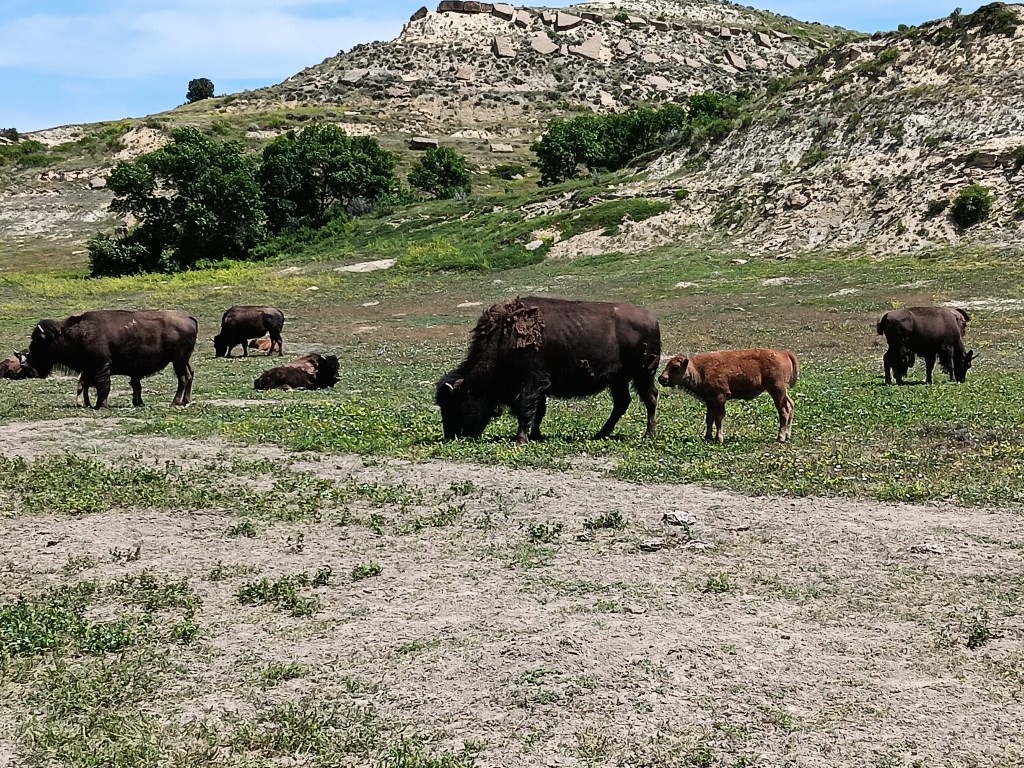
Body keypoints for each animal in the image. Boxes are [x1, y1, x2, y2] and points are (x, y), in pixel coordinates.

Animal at [26, 309, 198, 408]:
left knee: (183, 378)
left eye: (38, 342)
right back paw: (185, 401)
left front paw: (101, 405)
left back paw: (174, 403)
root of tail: (189, 317)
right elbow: (90, 385)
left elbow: (103, 386)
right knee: (190, 375)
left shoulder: (101, 365)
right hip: (184, 360)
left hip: (178, 360)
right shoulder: (89, 369)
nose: (30, 361)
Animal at [436, 296, 661, 443]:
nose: (452, 436)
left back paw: (648, 435)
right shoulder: (540, 387)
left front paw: (522, 439)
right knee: (623, 402)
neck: (503, 337)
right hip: (619, 379)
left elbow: (527, 409)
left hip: (642, 374)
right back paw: (601, 434)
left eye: (455, 404)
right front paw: (536, 435)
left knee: (650, 398)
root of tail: (652, 319)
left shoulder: (533, 382)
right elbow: (538, 412)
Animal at [658, 348, 799, 443]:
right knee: (791, 405)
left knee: (783, 411)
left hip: (777, 391)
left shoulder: (720, 398)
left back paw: (780, 437)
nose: (661, 379)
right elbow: (709, 418)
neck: (698, 370)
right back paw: (788, 435)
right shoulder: (709, 401)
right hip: (783, 392)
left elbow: (718, 418)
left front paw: (719, 438)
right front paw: (707, 437)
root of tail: (784, 354)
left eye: (676, 366)